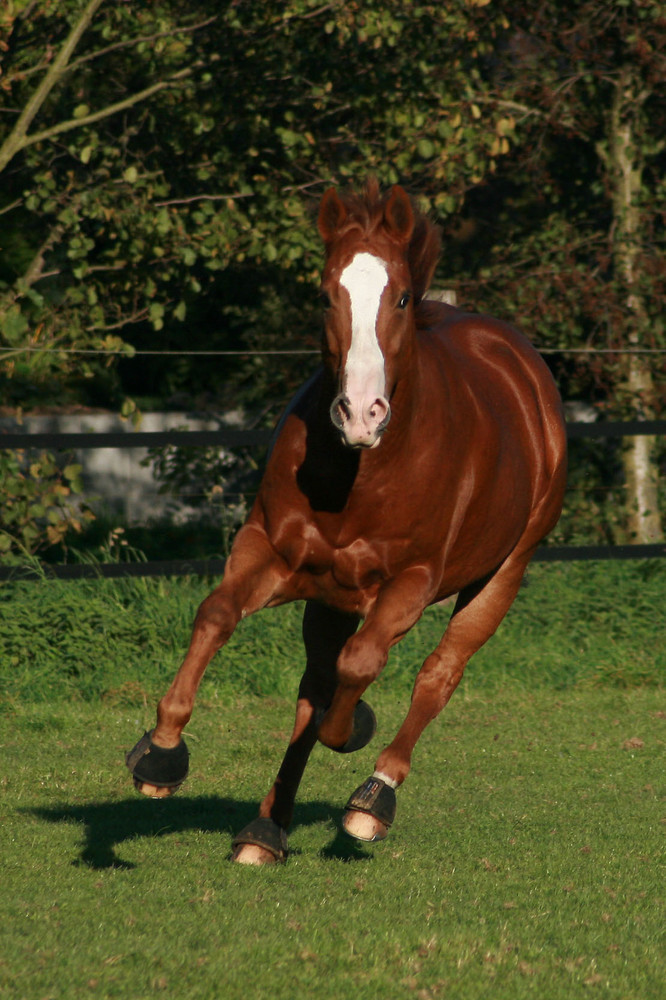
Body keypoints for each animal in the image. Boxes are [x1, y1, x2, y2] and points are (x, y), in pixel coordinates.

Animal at [126, 182, 564, 868]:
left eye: (402, 296)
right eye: (325, 295)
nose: (360, 412)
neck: (364, 472)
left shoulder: (410, 582)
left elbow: (358, 670)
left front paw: (355, 731)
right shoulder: (271, 553)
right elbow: (218, 615)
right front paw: (161, 755)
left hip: (503, 574)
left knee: (436, 676)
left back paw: (373, 801)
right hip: (329, 596)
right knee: (314, 684)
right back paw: (265, 831)